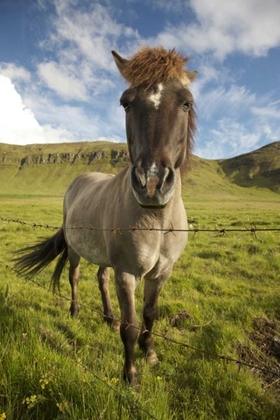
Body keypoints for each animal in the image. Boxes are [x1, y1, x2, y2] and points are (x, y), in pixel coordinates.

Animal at [14, 46, 197, 388]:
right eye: (126, 102)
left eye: (186, 102)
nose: (151, 182)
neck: (157, 220)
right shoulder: (127, 273)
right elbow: (131, 325)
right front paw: (130, 376)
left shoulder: (162, 273)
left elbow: (150, 314)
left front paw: (150, 352)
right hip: (75, 250)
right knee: (74, 277)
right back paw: (75, 312)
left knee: (101, 278)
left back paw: (108, 317)